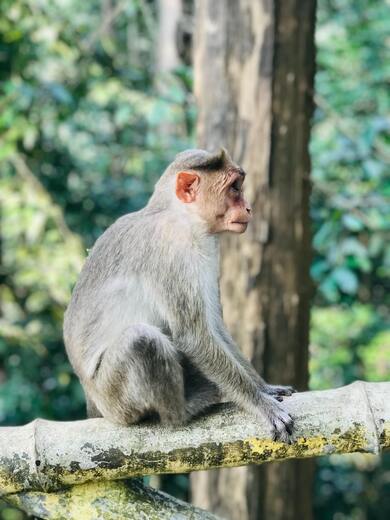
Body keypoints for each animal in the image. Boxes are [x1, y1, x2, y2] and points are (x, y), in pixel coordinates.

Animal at [64, 148, 296, 440]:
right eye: (234, 188)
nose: (248, 208)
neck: (182, 217)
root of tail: (93, 400)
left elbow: (214, 326)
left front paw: (265, 388)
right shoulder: (171, 250)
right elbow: (193, 336)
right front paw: (261, 403)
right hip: (114, 399)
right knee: (141, 339)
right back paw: (184, 411)